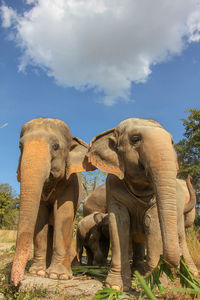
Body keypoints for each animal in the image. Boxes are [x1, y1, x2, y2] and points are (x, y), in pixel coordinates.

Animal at [11, 116, 94, 286]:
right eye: (20, 146)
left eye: (55, 146)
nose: (16, 282)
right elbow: (39, 217)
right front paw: (37, 272)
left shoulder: (70, 183)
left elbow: (63, 215)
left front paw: (58, 276)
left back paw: (73, 267)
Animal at [87, 118, 197, 290]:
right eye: (135, 139)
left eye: (172, 142)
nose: (165, 261)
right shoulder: (113, 186)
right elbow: (119, 222)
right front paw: (115, 287)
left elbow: (152, 222)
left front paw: (155, 284)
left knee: (178, 236)